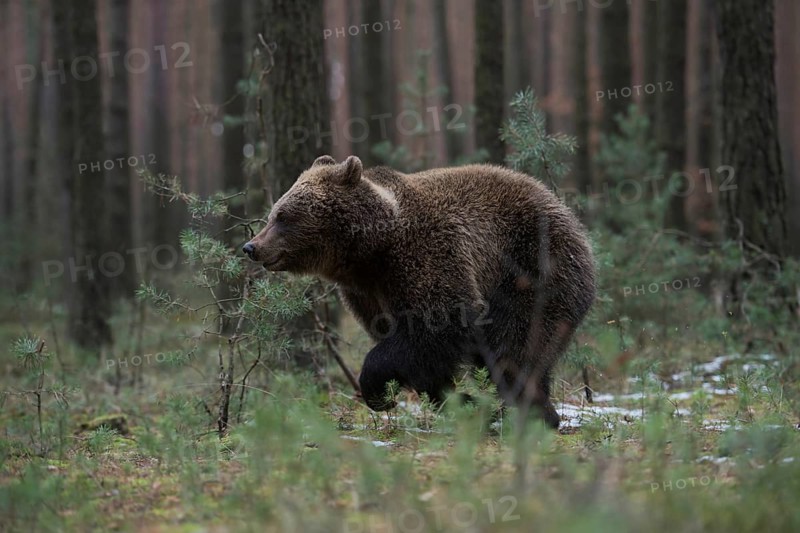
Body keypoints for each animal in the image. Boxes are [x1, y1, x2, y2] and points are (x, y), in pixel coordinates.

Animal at [242, 155, 596, 428]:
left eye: (283, 216)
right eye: (274, 213)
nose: (252, 246)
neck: (370, 253)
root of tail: (569, 216)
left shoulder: (427, 256)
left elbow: (436, 324)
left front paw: (376, 387)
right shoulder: (368, 293)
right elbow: (417, 352)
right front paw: (457, 399)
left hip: (533, 270)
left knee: (517, 347)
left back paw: (531, 412)